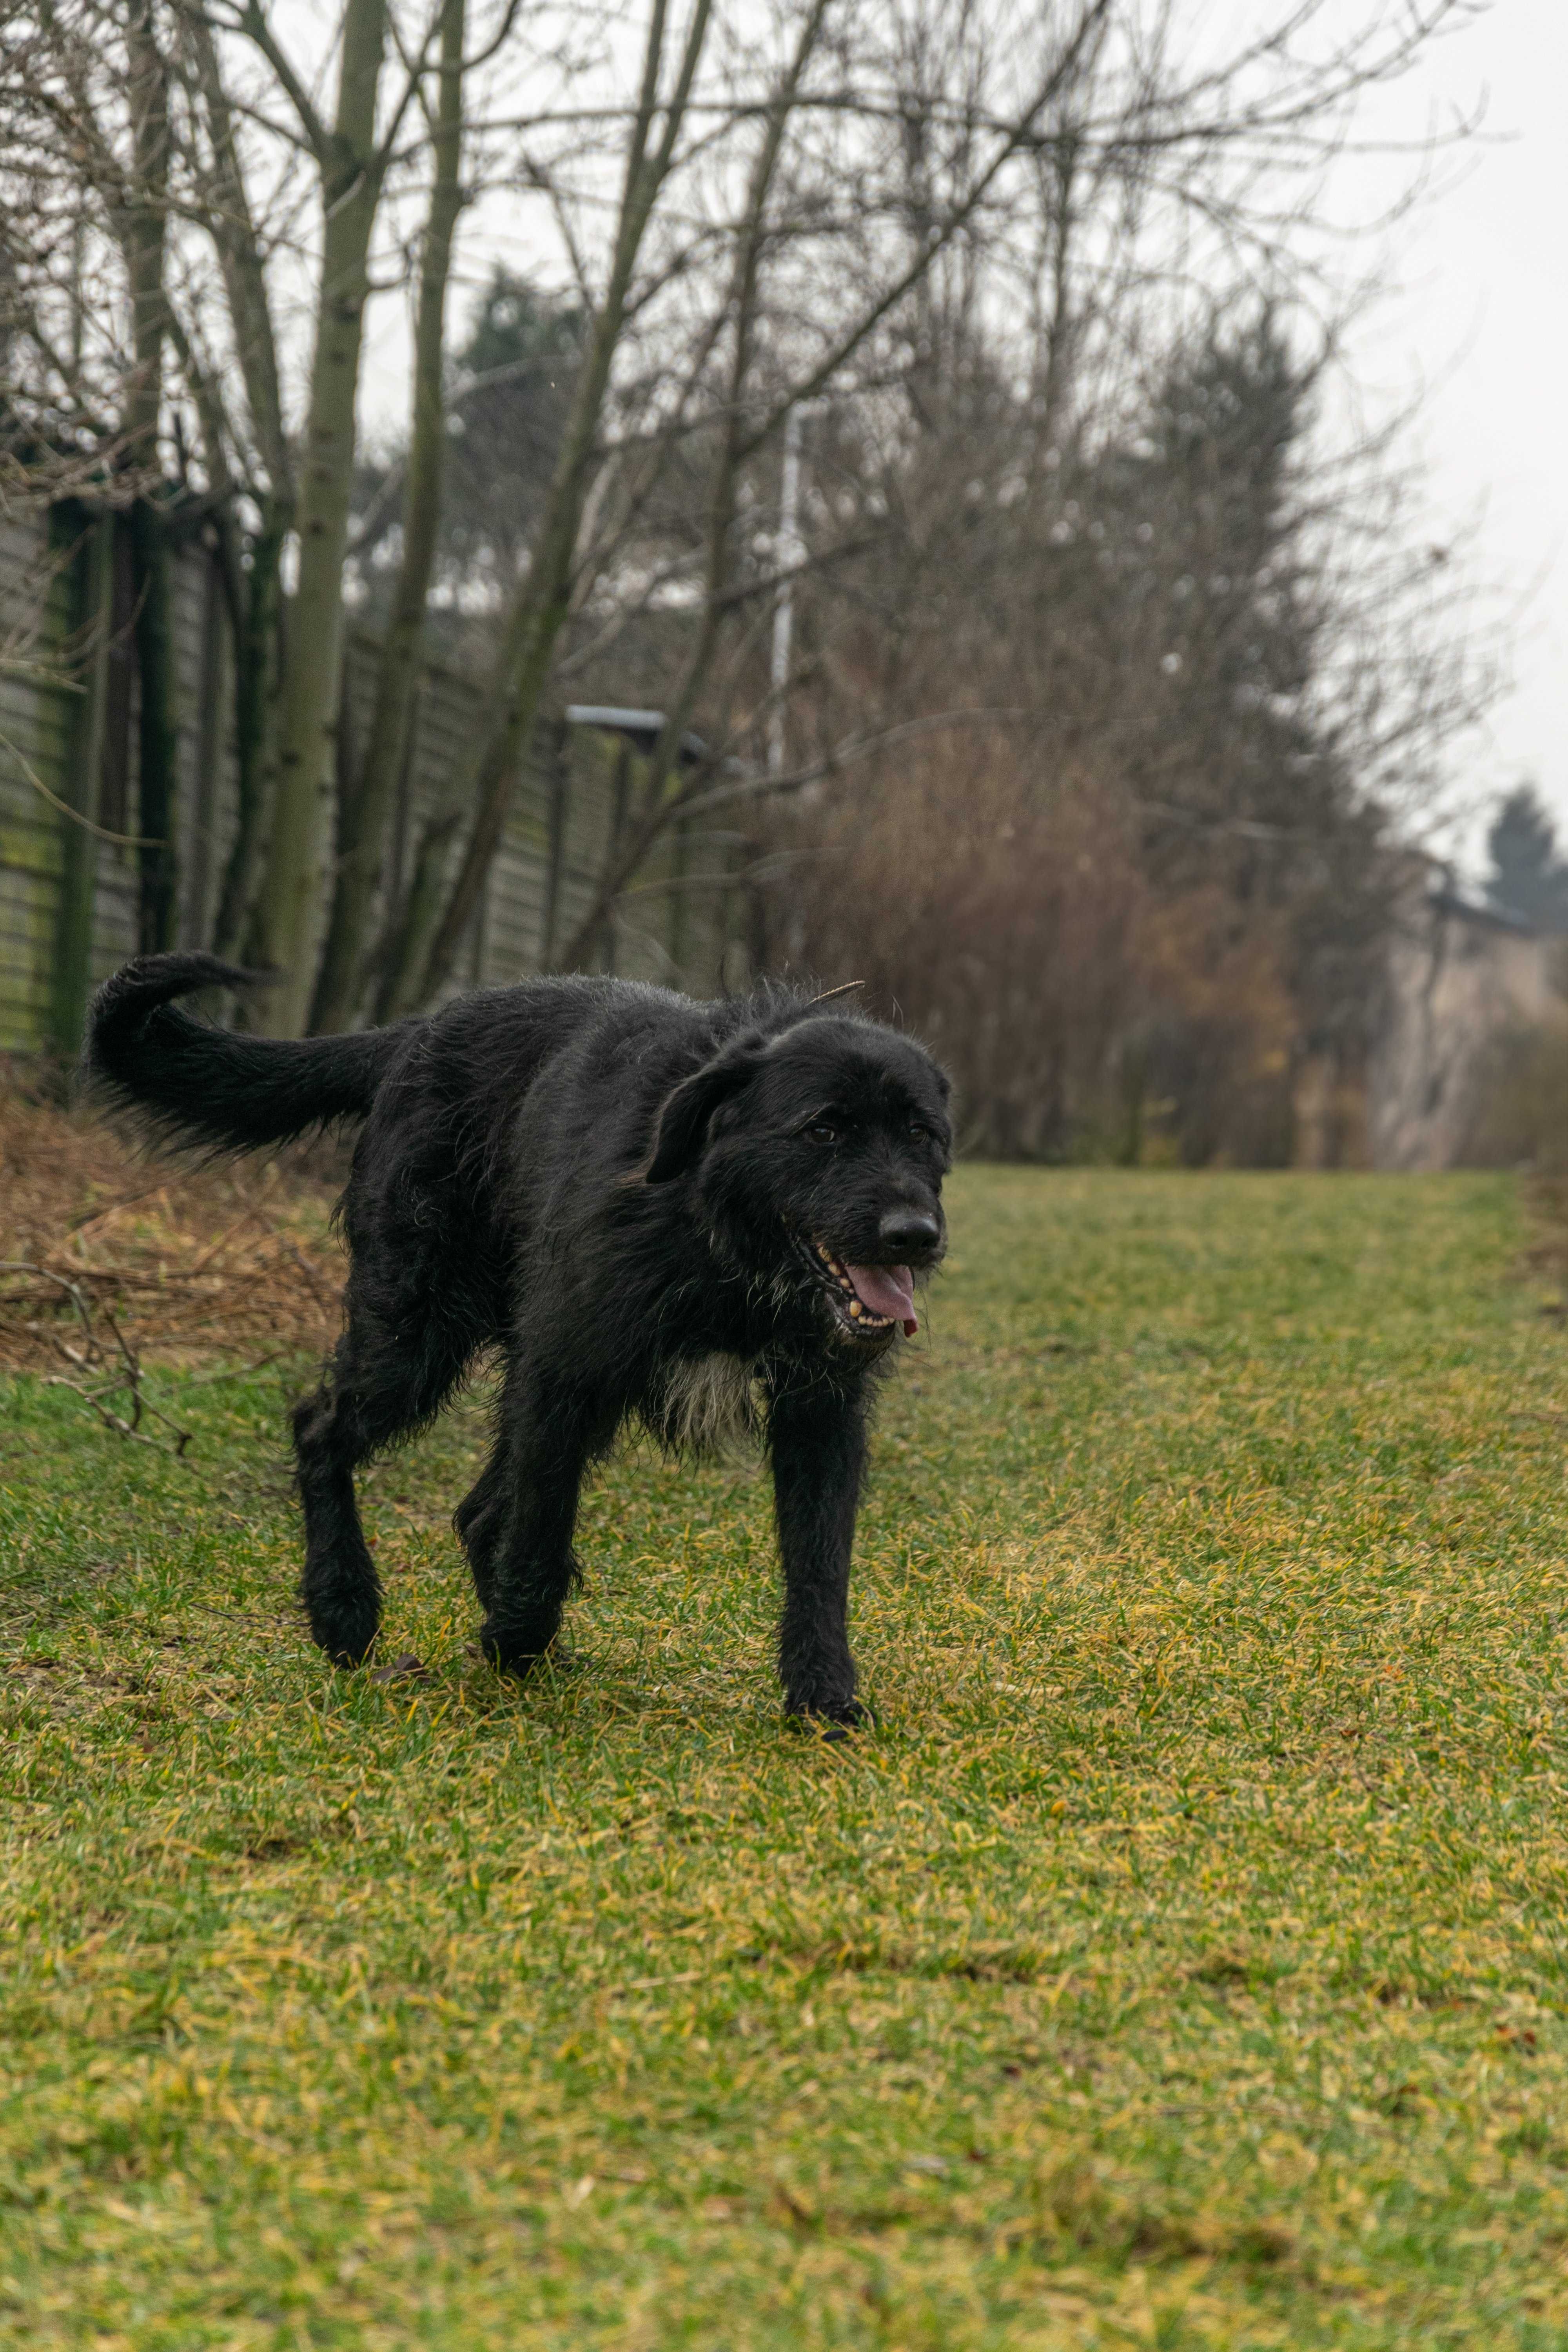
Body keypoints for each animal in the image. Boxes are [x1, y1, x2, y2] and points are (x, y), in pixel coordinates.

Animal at [89, 950, 959, 1731]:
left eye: (922, 1133)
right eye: (824, 1129)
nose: (914, 1236)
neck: (713, 1232)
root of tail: (415, 1033)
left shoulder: (819, 1410)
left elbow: (820, 1561)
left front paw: (822, 1696)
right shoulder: (565, 1370)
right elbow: (540, 1528)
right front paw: (514, 1636)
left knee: (477, 1511)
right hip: (415, 1332)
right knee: (322, 1429)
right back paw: (345, 1608)